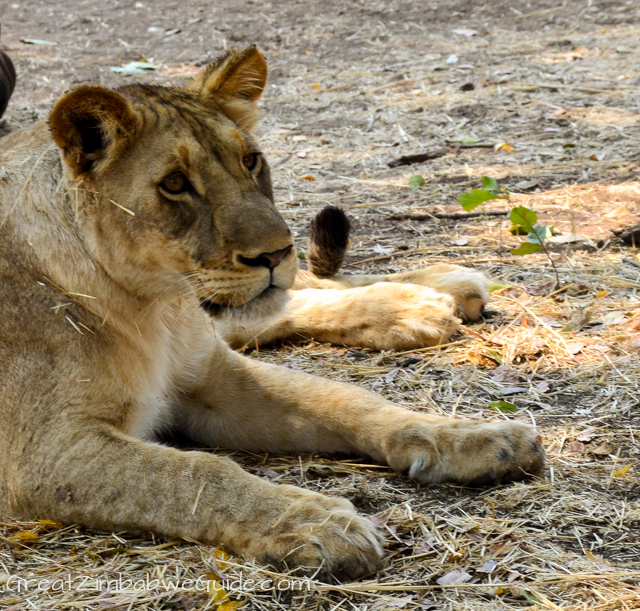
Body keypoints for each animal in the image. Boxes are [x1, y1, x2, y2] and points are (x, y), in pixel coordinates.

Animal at [0, 47, 544, 580]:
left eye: (250, 160)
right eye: (175, 183)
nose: (276, 253)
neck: (155, 307)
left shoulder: (212, 376)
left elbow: (345, 399)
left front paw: (472, 437)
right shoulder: (43, 456)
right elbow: (193, 474)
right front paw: (312, 522)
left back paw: (440, 292)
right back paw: (425, 303)